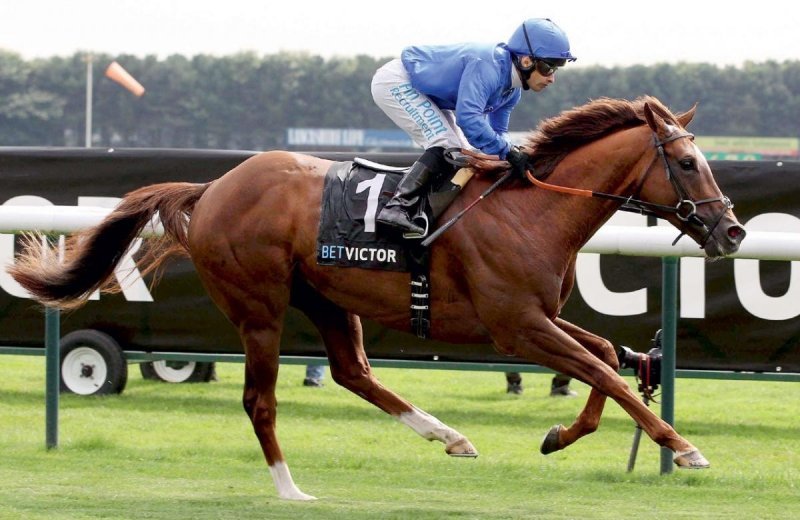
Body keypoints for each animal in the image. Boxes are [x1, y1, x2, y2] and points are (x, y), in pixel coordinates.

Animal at [8, 96, 746, 500]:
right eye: (687, 163)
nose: (732, 229)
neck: (532, 209)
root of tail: (211, 188)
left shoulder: (541, 317)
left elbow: (604, 362)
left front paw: (561, 433)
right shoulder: (516, 325)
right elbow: (601, 370)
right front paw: (684, 448)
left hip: (327, 297)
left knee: (352, 371)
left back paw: (449, 437)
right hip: (259, 306)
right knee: (261, 400)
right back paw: (291, 489)